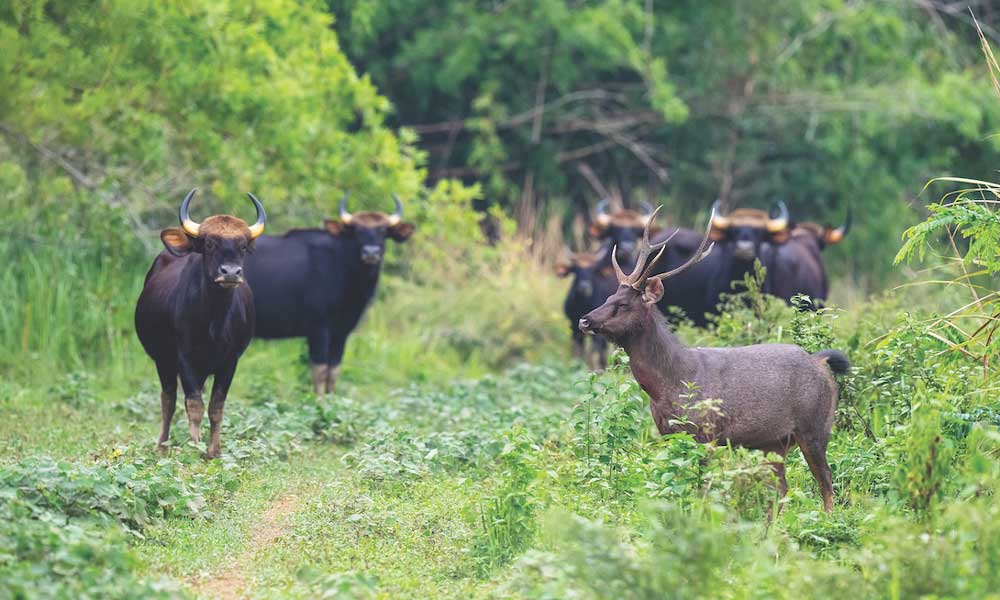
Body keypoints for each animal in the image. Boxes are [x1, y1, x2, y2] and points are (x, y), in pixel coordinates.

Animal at [580, 206, 852, 510]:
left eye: (623, 304)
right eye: (609, 296)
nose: (584, 320)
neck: (669, 383)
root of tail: (820, 362)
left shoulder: (707, 433)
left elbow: (702, 487)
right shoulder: (668, 433)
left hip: (815, 426)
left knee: (826, 481)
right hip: (776, 441)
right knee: (783, 488)